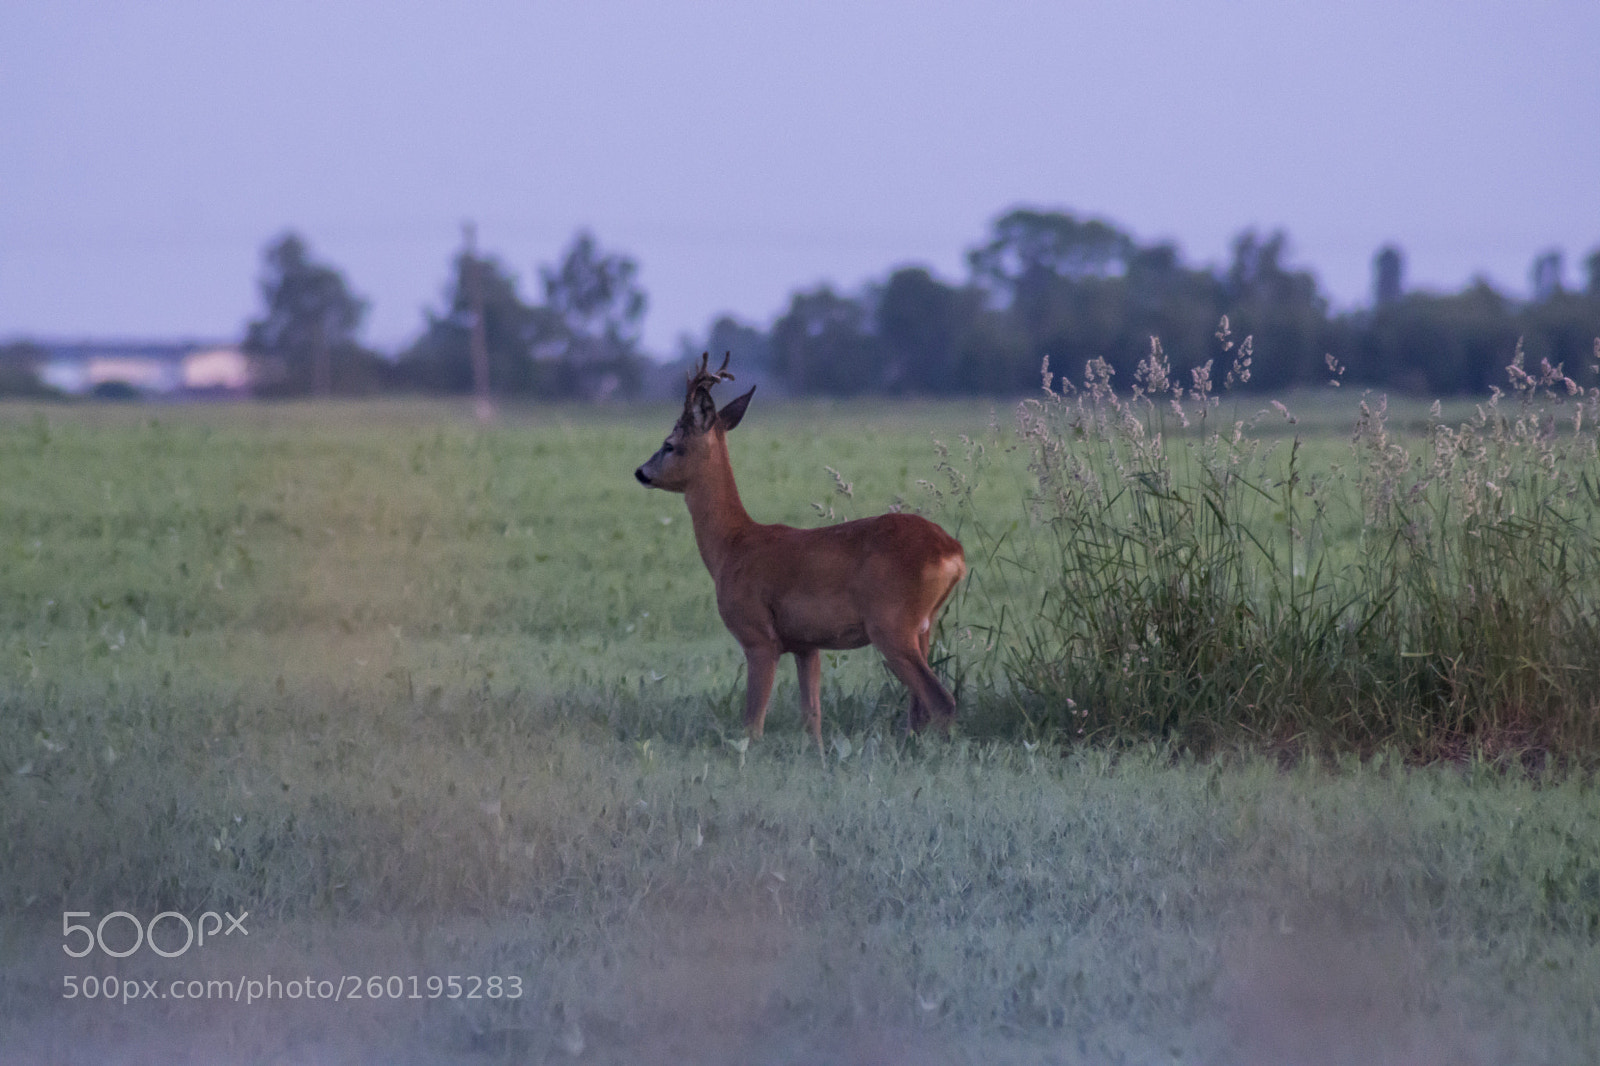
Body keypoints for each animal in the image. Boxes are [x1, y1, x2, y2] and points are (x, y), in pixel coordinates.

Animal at [635, 353, 967, 748]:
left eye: (669, 444)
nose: (640, 471)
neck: (733, 546)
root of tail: (953, 552)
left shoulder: (758, 636)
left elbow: (753, 723)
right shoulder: (808, 644)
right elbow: (812, 717)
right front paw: (818, 754)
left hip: (891, 623)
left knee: (940, 701)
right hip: (922, 627)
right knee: (920, 708)